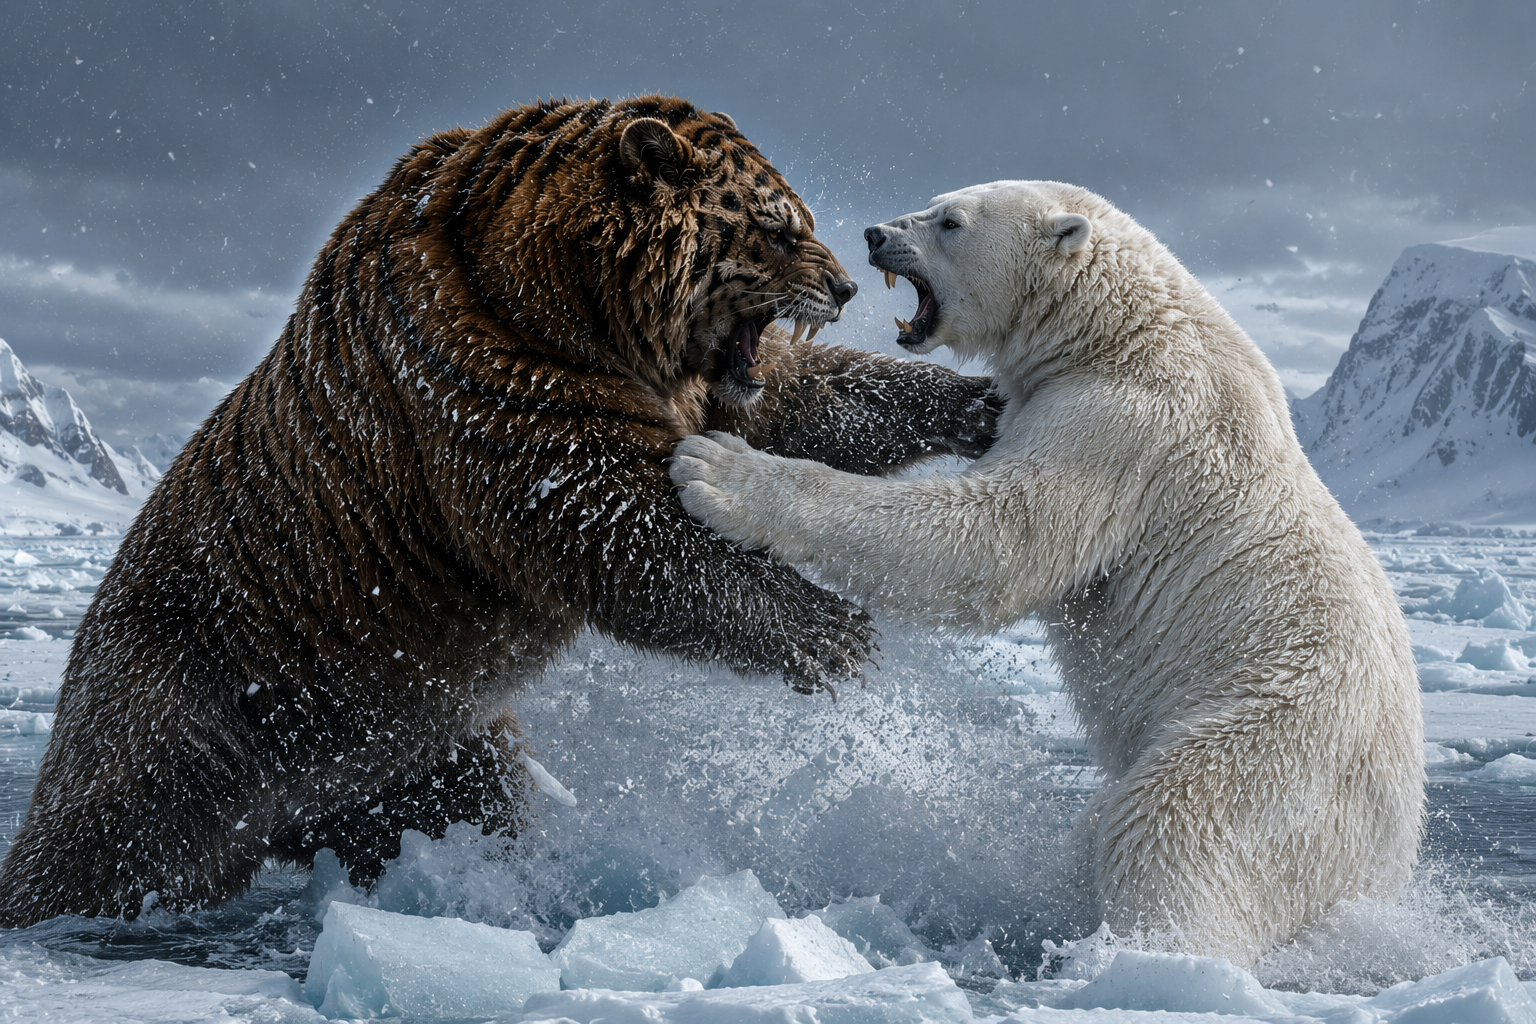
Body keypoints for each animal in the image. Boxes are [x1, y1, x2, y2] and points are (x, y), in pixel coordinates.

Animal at [0, 97, 1001, 927]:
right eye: (779, 227)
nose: (842, 285)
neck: (571, 299)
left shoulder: (689, 384)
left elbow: (808, 403)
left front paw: (971, 403)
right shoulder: (485, 381)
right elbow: (618, 526)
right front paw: (837, 632)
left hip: (407, 742)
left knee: (465, 808)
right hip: (197, 688)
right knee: (104, 839)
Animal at [670, 180, 1425, 967]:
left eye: (950, 219)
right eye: (935, 201)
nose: (876, 235)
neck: (1118, 328)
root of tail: (1388, 860)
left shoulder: (1123, 423)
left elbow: (997, 536)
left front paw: (716, 469)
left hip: (1278, 745)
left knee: (1176, 820)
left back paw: (1137, 950)